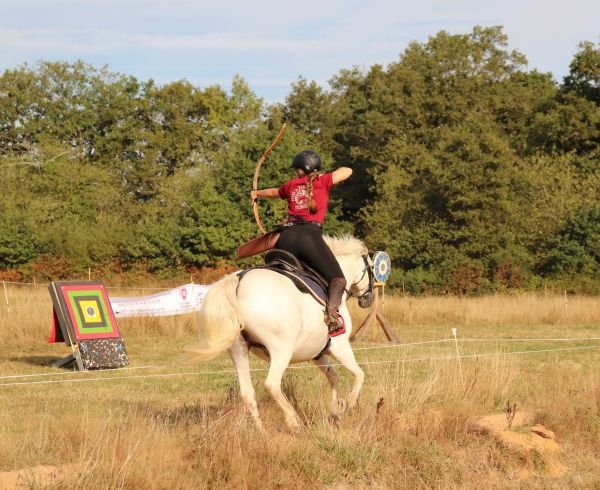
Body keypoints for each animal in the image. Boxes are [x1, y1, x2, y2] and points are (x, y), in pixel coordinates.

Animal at [185, 234, 375, 431]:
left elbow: (333, 377)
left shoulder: (317, 354)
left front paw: (335, 412)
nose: (368, 298)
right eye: (373, 267)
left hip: (238, 350)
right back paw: (293, 420)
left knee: (247, 392)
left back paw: (262, 431)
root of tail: (239, 281)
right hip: (281, 350)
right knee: (272, 384)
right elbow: (359, 374)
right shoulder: (340, 347)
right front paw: (348, 404)